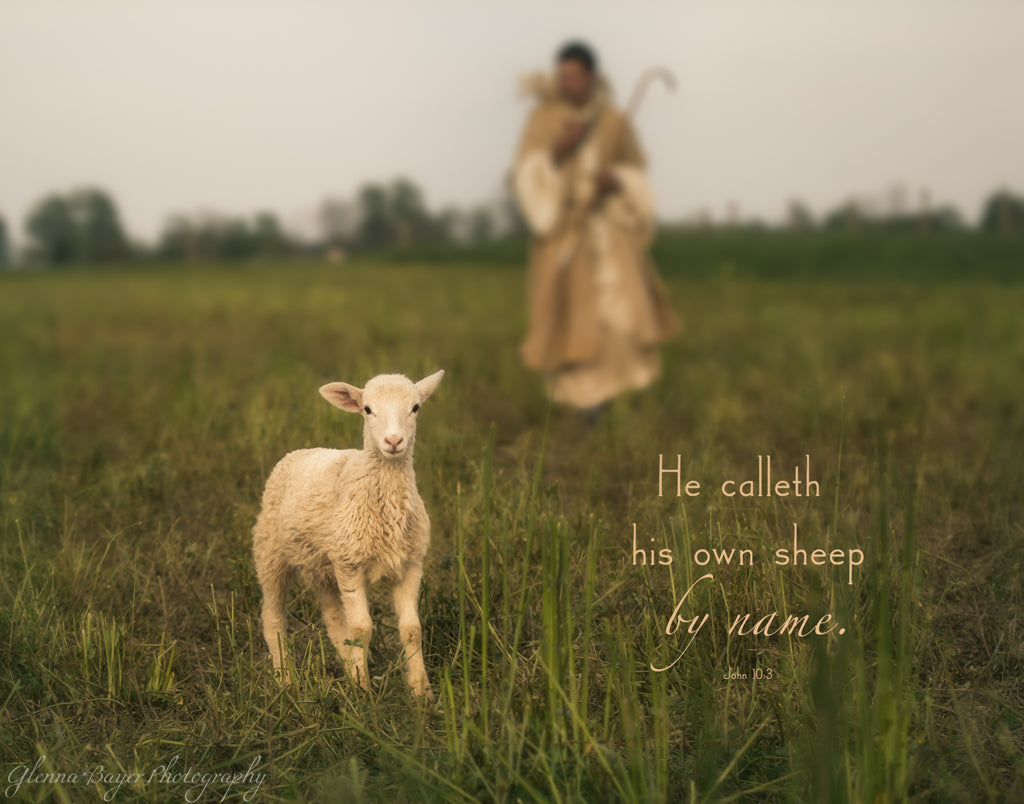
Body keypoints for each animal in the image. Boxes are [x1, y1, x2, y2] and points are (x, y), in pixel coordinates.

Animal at [252, 369, 444, 698]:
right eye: (367, 409)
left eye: (415, 407)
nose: (394, 441)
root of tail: (302, 450)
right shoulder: (350, 565)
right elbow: (362, 628)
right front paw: (365, 693)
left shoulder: (410, 564)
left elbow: (411, 630)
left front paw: (421, 693)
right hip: (271, 552)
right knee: (273, 617)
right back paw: (286, 679)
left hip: (324, 565)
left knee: (333, 619)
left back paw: (348, 670)